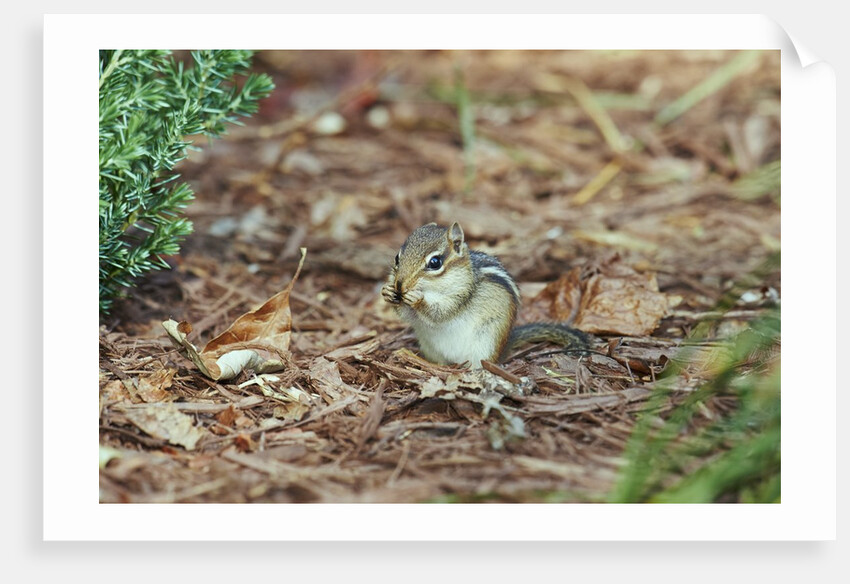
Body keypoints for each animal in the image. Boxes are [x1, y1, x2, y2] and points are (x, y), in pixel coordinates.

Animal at [381, 222, 591, 367]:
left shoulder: (460, 296)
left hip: (485, 344)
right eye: (397, 258)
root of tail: (504, 347)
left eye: (435, 262)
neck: (434, 290)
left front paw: (418, 300)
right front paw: (388, 292)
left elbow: (439, 314)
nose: (399, 284)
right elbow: (408, 316)